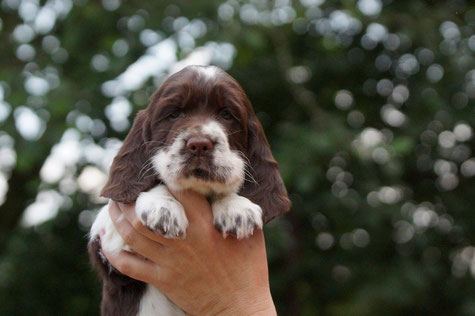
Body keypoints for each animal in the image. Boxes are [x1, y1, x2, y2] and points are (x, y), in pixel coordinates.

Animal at [88, 64, 290, 316]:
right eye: (174, 114)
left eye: (227, 115)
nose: (200, 144)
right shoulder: (110, 253)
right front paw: (162, 208)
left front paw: (237, 209)